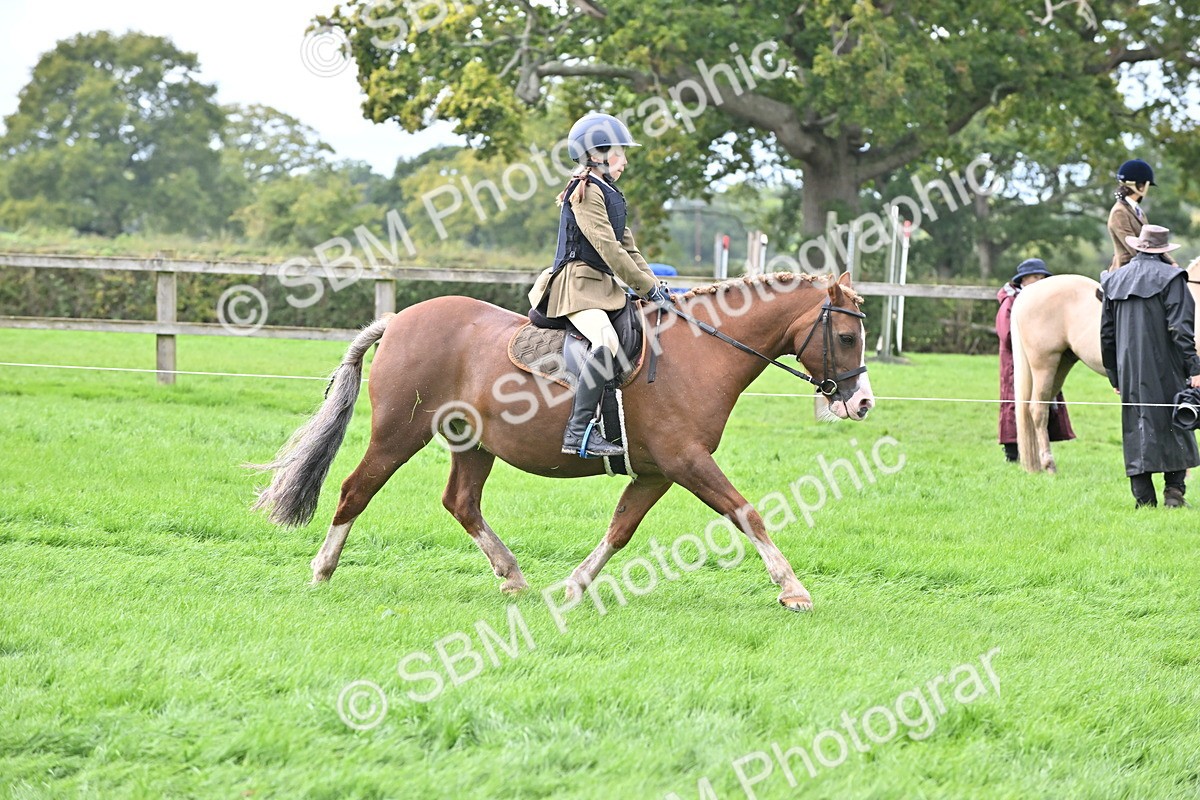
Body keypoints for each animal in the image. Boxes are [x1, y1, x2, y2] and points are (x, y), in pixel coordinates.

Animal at [250, 271, 875, 612]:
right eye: (846, 336)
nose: (862, 404)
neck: (701, 352)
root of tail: (399, 319)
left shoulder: (658, 471)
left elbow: (620, 530)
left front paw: (574, 586)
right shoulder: (687, 461)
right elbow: (747, 513)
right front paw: (793, 589)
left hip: (473, 445)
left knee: (461, 503)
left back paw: (512, 575)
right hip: (398, 433)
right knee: (356, 489)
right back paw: (322, 570)